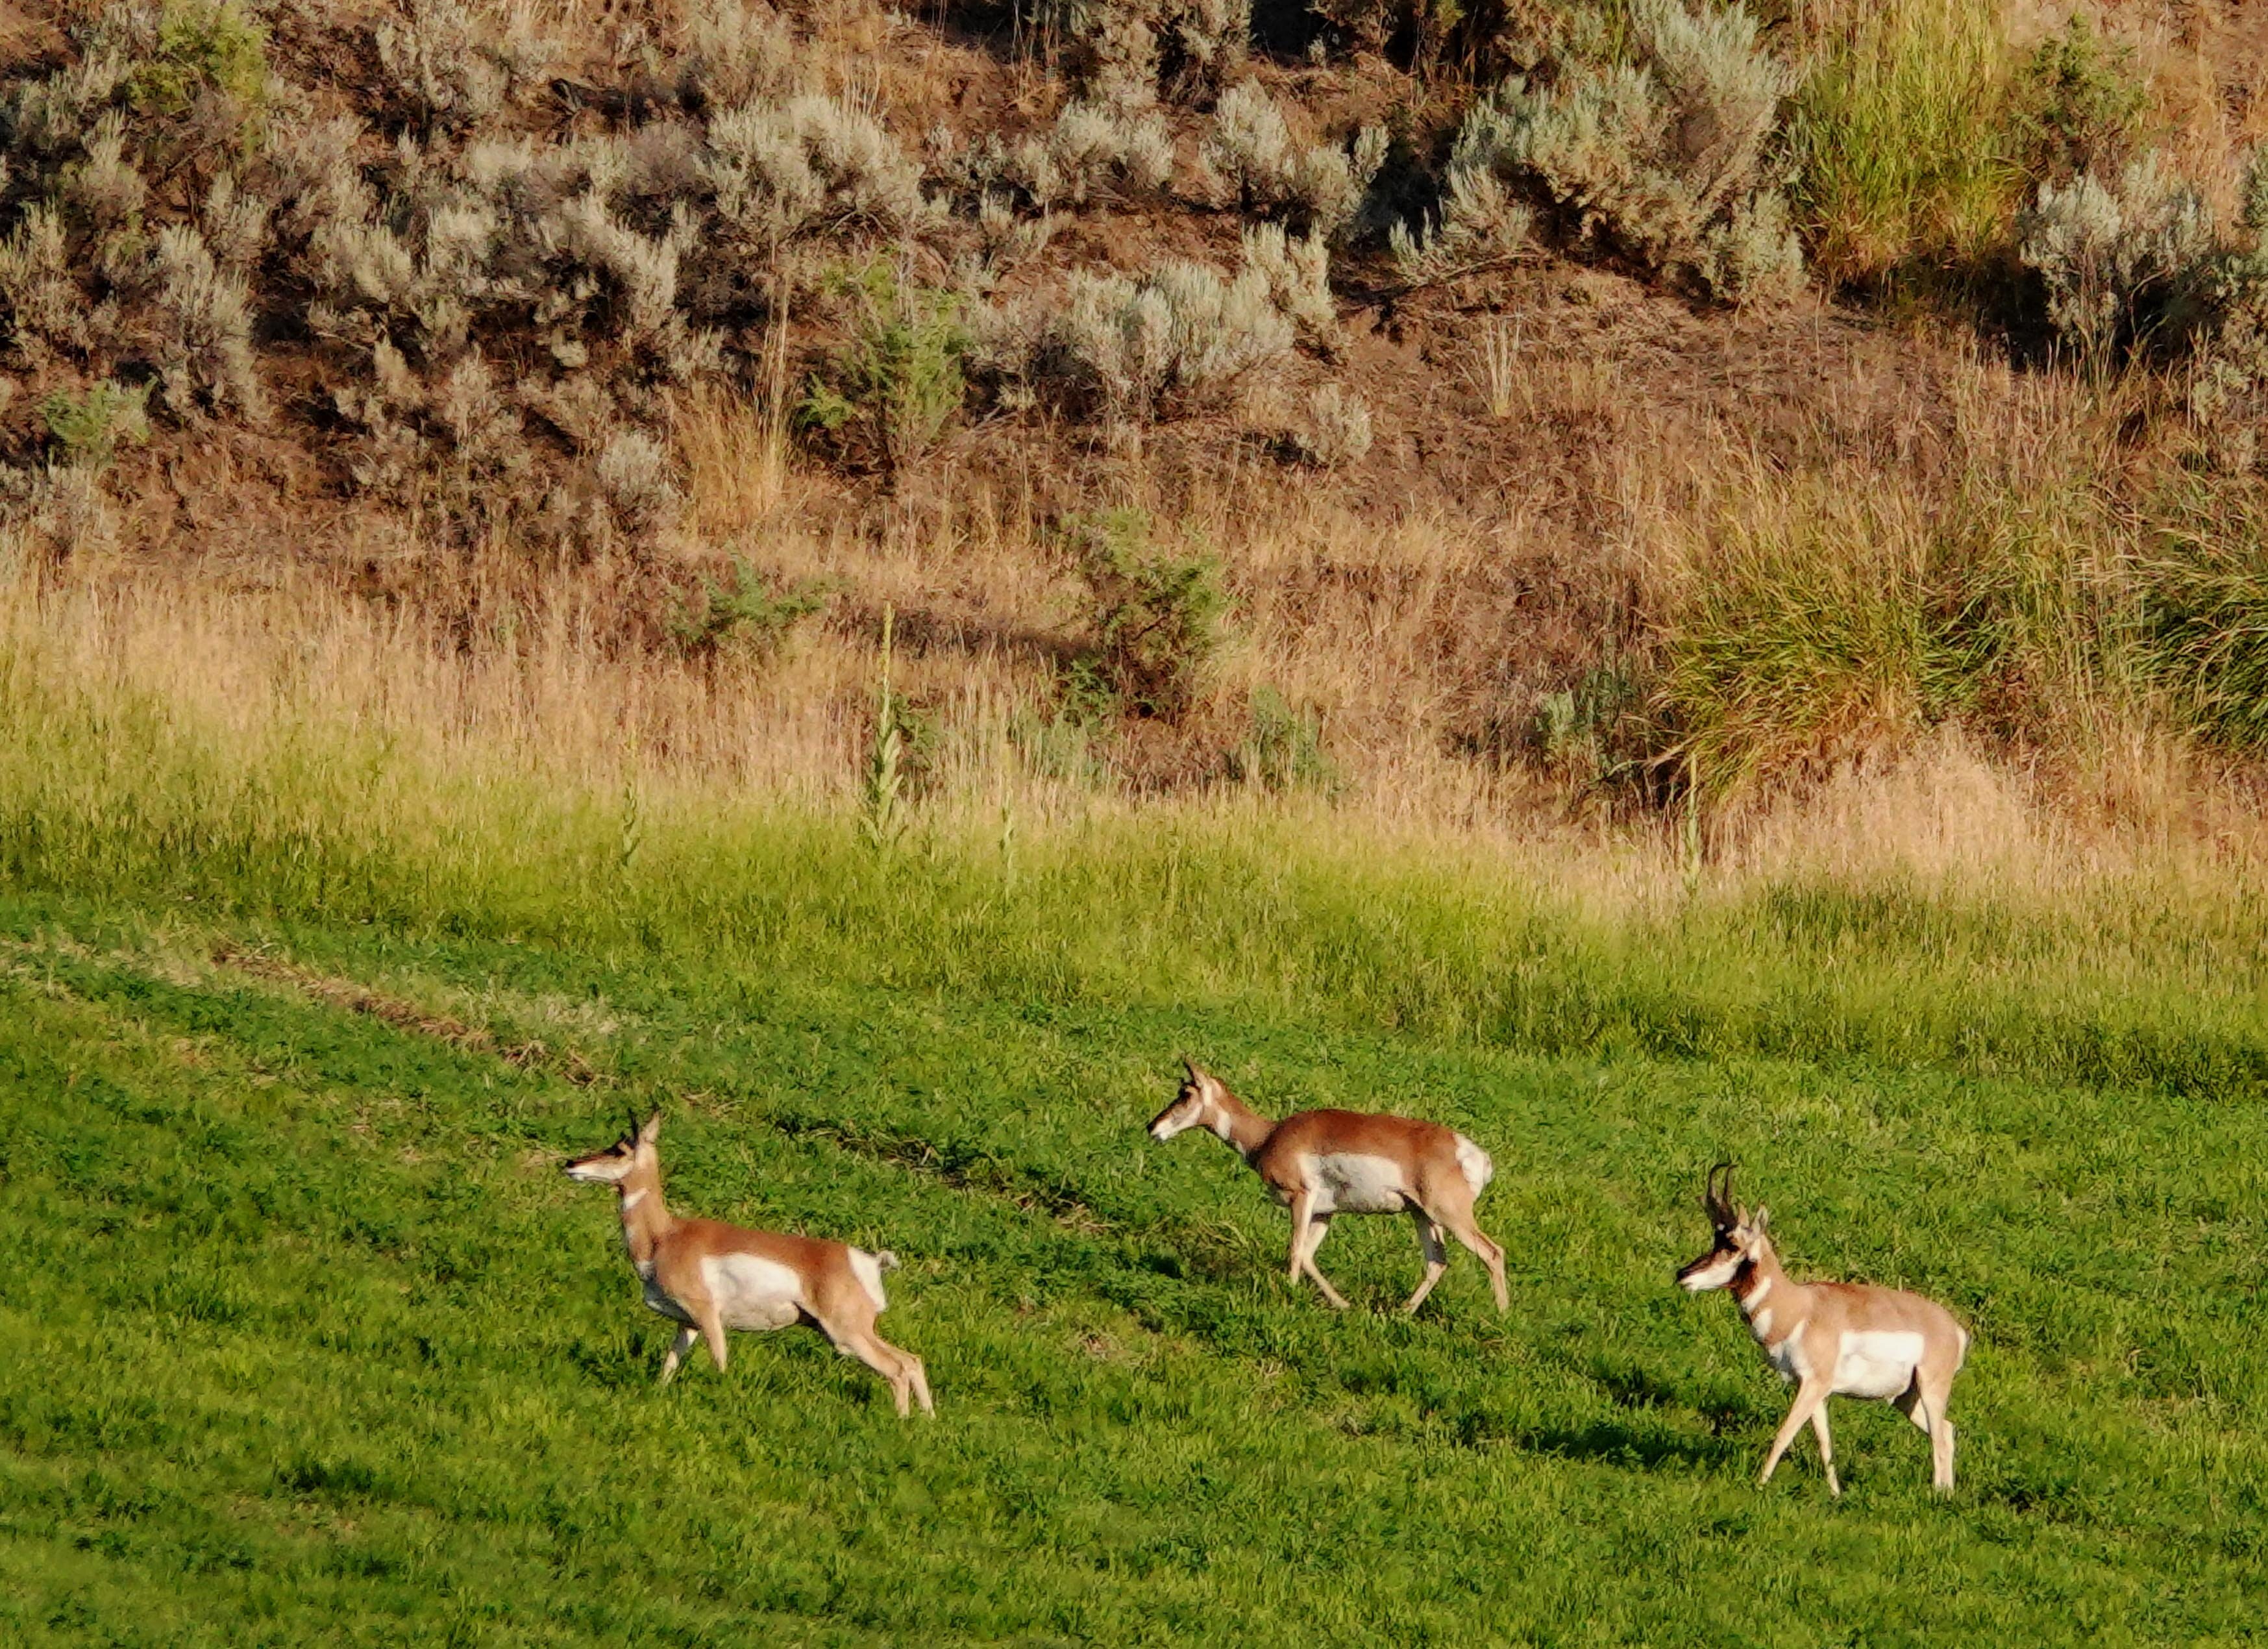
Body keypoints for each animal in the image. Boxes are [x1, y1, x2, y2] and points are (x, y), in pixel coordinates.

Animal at [567, 1111, 930, 1415]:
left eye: (619, 1150)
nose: (571, 1163)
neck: (666, 1235)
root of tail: (867, 1260)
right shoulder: (687, 1323)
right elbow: (670, 1362)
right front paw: (657, 1393)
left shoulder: (707, 1315)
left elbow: (720, 1360)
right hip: (851, 1331)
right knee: (912, 1360)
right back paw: (926, 1422)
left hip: (846, 1334)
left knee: (897, 1369)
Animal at [1152, 1057, 1506, 1315]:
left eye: (1186, 1094)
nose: (1151, 1127)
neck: (1268, 1137)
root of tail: (1473, 1154)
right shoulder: (1325, 1212)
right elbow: (1308, 1255)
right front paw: (1342, 1303)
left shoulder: (1301, 1198)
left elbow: (1295, 1250)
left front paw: (1288, 1294)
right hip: (1423, 1216)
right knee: (1437, 1262)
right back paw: (1402, 1312)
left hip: (1450, 1215)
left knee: (1493, 1253)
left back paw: (1502, 1316)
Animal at [1678, 1161, 1977, 1496]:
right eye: (1714, 1241)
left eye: (1731, 1245)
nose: (1682, 1274)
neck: (1799, 1308)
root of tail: (1954, 1329)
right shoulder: (1814, 1389)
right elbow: (1825, 1443)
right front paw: (1836, 1494)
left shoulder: (1813, 1384)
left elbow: (1783, 1434)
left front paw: (1759, 1485)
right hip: (1904, 1397)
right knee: (1947, 1431)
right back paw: (1946, 1494)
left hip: (1931, 1388)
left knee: (1940, 1437)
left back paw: (1937, 1496)